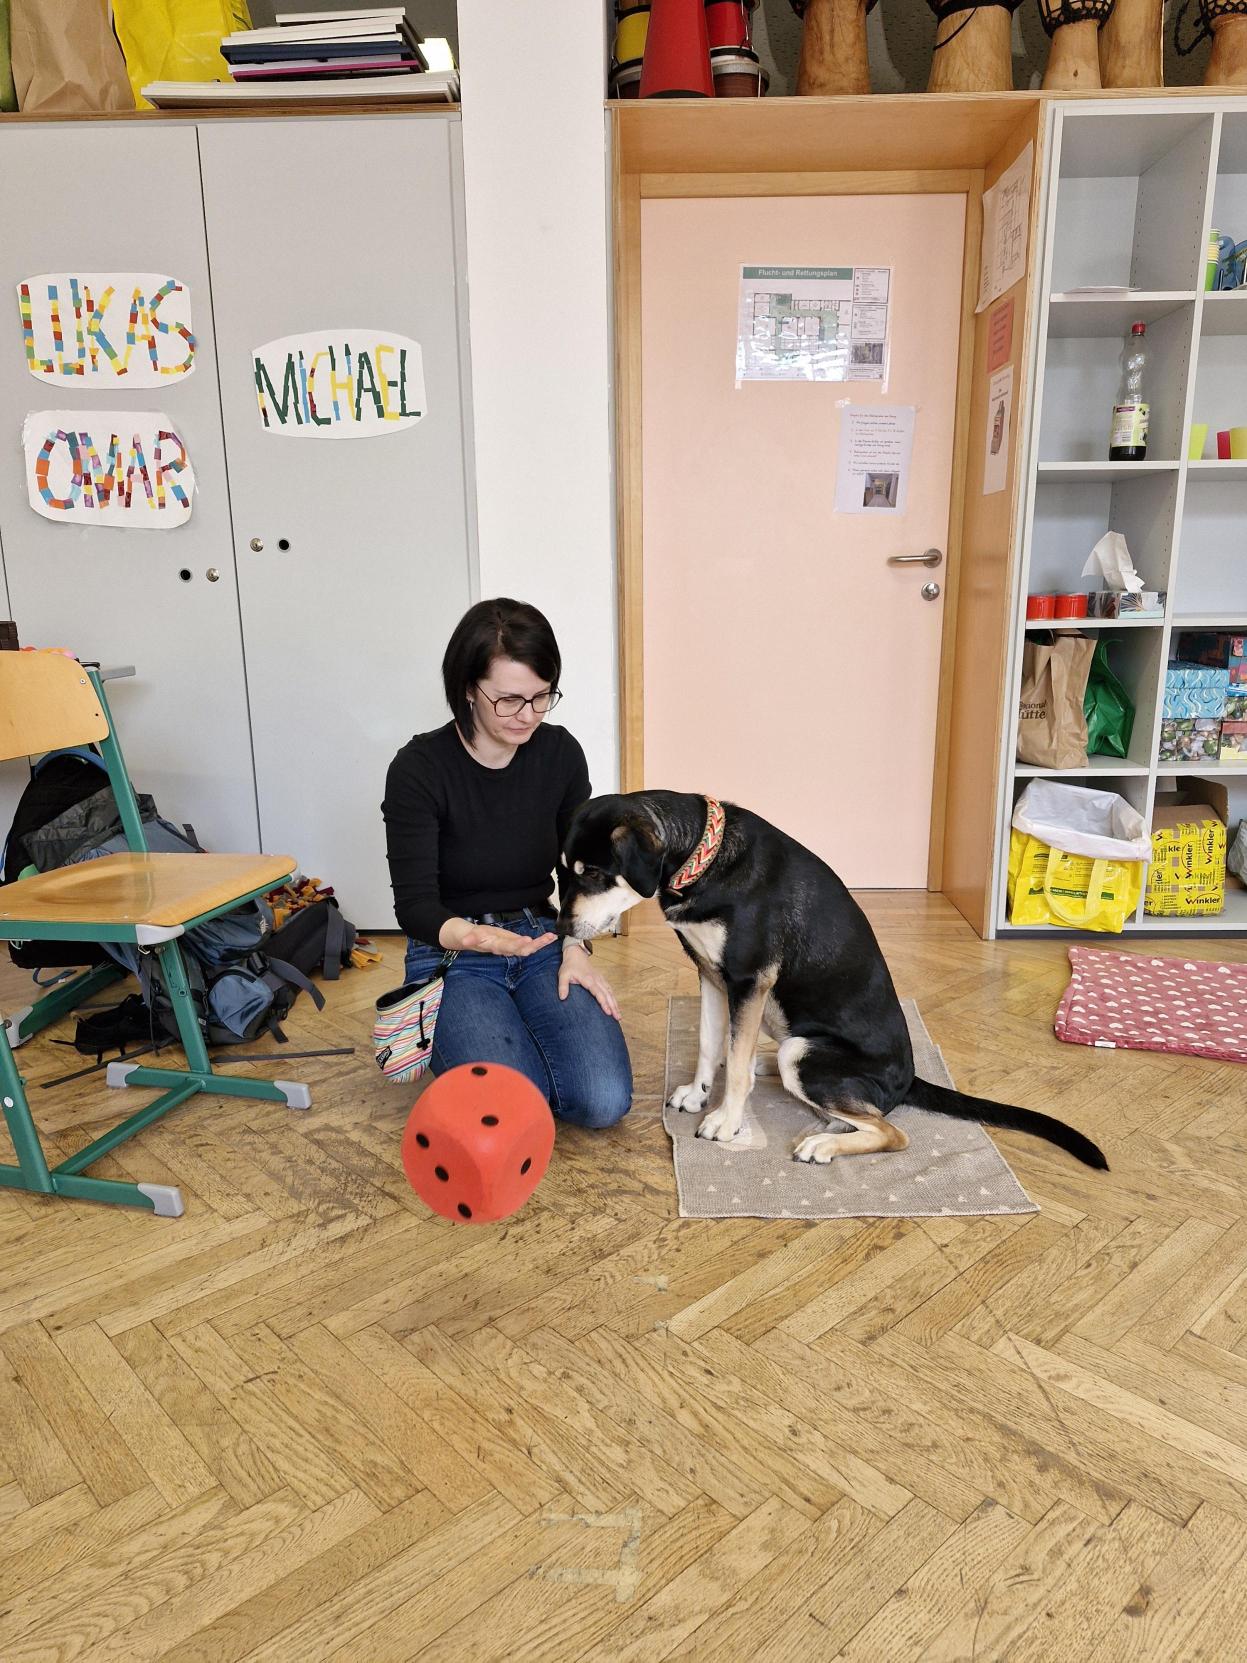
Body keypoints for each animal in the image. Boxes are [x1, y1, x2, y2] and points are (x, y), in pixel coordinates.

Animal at [557, 790, 1107, 1170]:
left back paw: (822, 1142)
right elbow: (711, 1044)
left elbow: (732, 1066)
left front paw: (726, 1122)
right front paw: (697, 1093)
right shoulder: (711, 975)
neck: (703, 858)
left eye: (593, 874)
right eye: (564, 873)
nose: (560, 930)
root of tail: (907, 1078)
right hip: (791, 1043)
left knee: (891, 1132)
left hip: (804, 1054)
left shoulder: (748, 981)